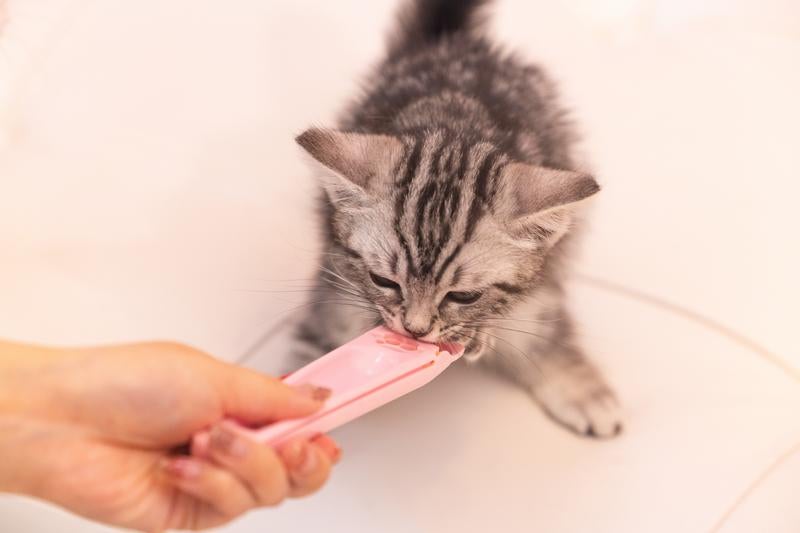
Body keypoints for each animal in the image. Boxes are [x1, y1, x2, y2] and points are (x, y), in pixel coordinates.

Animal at [290, 0, 620, 436]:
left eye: (464, 296)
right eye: (383, 280)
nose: (415, 329)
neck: (455, 125)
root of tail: (451, 42)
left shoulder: (540, 286)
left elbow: (537, 330)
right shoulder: (335, 279)